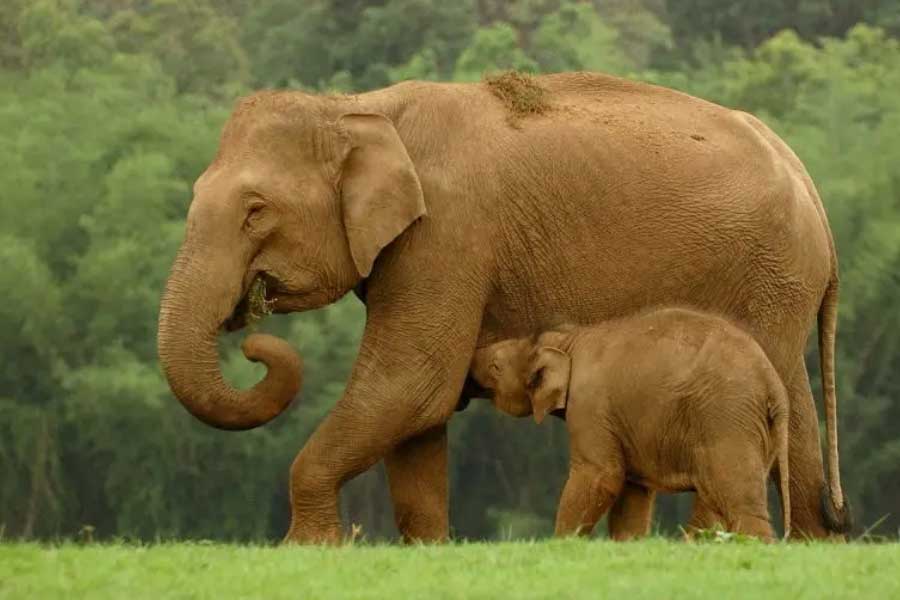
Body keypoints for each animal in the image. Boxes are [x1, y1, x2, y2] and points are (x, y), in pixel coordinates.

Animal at [469, 308, 791, 541]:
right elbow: (632, 494)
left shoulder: (590, 406)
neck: (566, 340)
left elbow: (602, 476)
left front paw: (561, 546)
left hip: (726, 418)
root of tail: (773, 384)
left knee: (737, 500)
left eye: (495, 366)